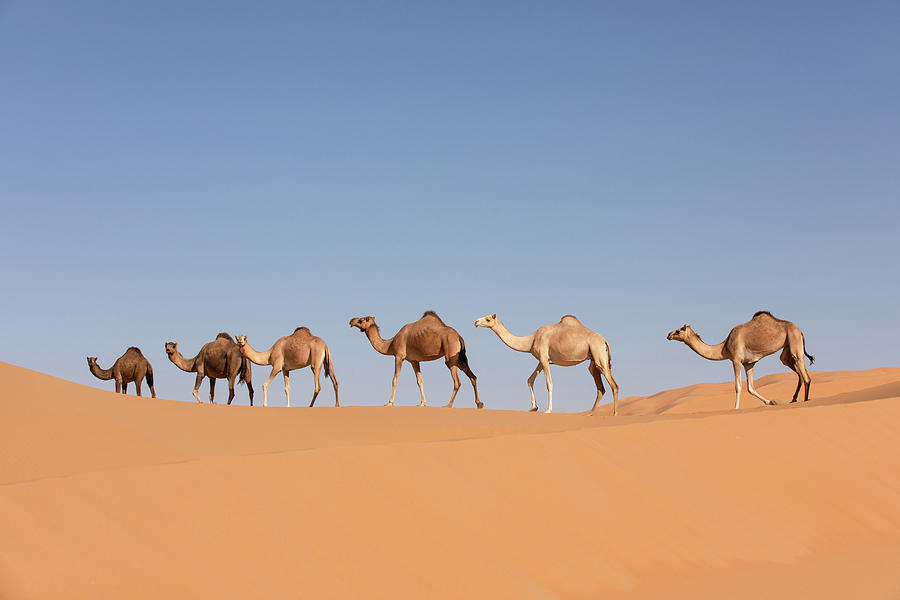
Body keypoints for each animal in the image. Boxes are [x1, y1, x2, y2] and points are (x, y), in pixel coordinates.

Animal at [348, 314, 482, 408]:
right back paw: (479, 404)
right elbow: (420, 381)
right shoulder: (414, 361)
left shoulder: (399, 356)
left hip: (450, 356)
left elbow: (395, 379)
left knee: (457, 381)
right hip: (460, 358)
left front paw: (389, 403)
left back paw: (448, 405)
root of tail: (459, 336)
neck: (391, 344)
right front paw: (422, 403)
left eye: (361, 320)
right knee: (473, 376)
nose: (351, 320)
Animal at [472, 314, 620, 418]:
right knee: (600, 387)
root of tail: (604, 340)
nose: (476, 322)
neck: (531, 340)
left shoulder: (543, 357)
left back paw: (615, 413)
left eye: (488, 319)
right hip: (593, 360)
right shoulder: (543, 360)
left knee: (614, 385)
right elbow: (530, 379)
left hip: (598, 352)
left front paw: (548, 410)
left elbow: (549, 383)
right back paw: (590, 413)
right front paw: (533, 407)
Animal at [664, 312, 812, 410]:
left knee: (804, 373)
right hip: (787, 349)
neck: (724, 347)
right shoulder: (749, 363)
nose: (668, 335)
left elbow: (738, 386)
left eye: (679, 331)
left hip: (794, 339)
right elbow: (751, 388)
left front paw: (735, 408)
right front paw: (771, 402)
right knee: (795, 367)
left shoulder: (736, 360)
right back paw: (795, 399)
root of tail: (800, 331)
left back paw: (805, 400)